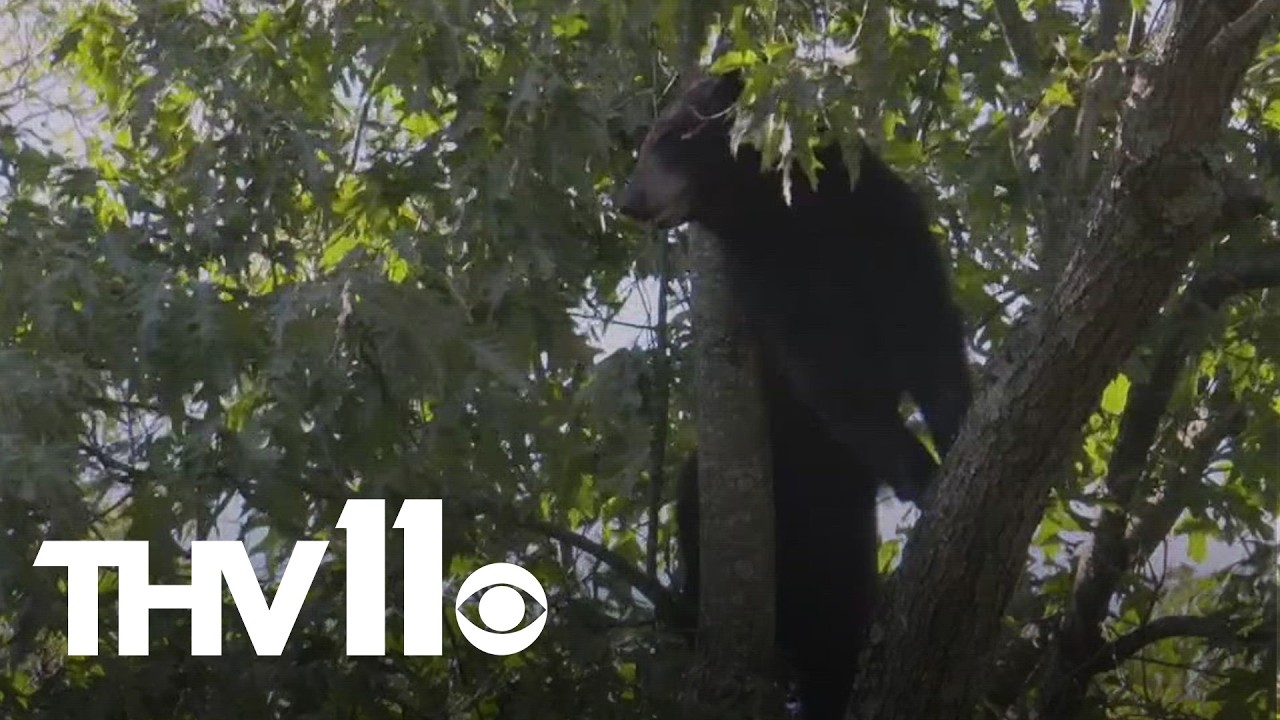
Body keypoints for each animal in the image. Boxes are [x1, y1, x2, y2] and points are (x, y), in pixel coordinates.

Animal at [619, 68, 972, 720]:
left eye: (674, 134)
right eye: (648, 140)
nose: (628, 201)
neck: (785, 211)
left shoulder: (881, 220)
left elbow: (925, 330)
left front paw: (954, 431)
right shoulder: (766, 275)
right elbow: (825, 371)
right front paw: (920, 469)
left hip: (844, 526)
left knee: (841, 619)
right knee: (692, 500)